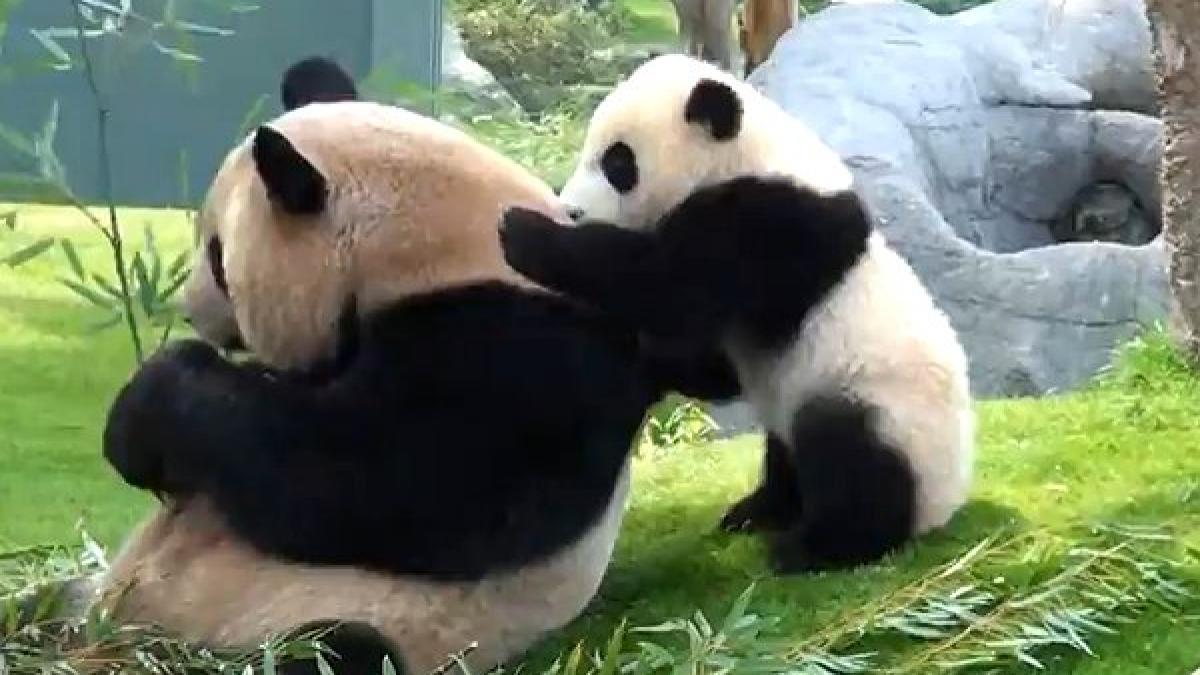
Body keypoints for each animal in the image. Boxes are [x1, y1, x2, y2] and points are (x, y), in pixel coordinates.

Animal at [93, 59, 662, 675]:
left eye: (219, 256)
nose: (189, 309)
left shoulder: (521, 354)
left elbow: (372, 482)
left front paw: (145, 414)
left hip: (346, 624)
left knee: (340, 648)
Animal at [498, 53, 975, 573]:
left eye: (618, 162)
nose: (572, 209)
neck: (746, 156)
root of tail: (945, 504)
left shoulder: (769, 224)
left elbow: (669, 287)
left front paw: (523, 230)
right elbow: (710, 363)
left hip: (881, 405)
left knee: (851, 459)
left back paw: (812, 546)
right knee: (784, 453)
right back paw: (758, 511)